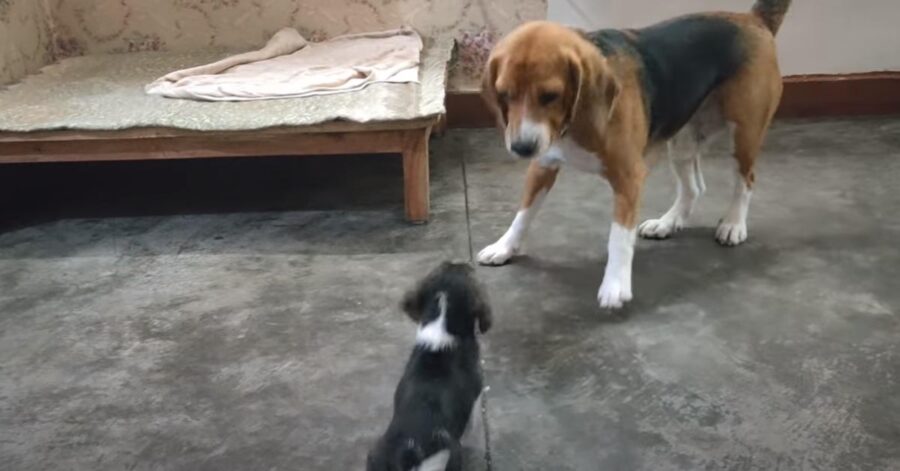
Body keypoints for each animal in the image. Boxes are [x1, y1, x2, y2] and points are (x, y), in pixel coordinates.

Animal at [366, 262, 492, 471]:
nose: (464, 263)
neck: (441, 325)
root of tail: (410, 452)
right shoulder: (476, 393)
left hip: (376, 455)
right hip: (448, 459)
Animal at [478, 0, 788, 310]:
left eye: (550, 95)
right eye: (504, 94)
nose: (522, 147)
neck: (573, 122)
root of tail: (752, 19)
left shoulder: (629, 177)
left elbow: (619, 237)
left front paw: (615, 284)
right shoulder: (542, 166)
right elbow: (523, 214)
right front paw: (504, 247)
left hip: (744, 134)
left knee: (745, 180)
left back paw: (734, 223)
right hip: (682, 141)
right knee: (694, 188)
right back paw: (668, 222)